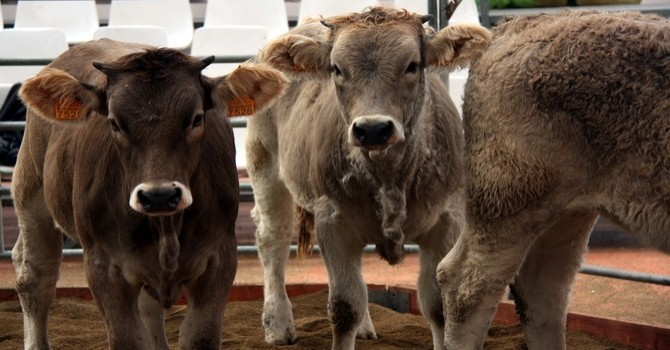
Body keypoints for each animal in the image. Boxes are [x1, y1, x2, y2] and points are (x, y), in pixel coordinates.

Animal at [11, 39, 288, 350]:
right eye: (114, 122)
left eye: (196, 118)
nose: (159, 196)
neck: (166, 225)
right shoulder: (103, 265)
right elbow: (128, 339)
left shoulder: (221, 257)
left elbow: (199, 335)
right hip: (31, 190)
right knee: (35, 276)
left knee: (148, 307)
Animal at [247, 6, 494, 350]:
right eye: (336, 68)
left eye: (412, 65)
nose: (373, 129)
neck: (391, 179)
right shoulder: (333, 221)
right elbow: (345, 305)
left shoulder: (447, 220)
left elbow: (436, 304)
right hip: (265, 165)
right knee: (273, 239)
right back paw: (278, 323)